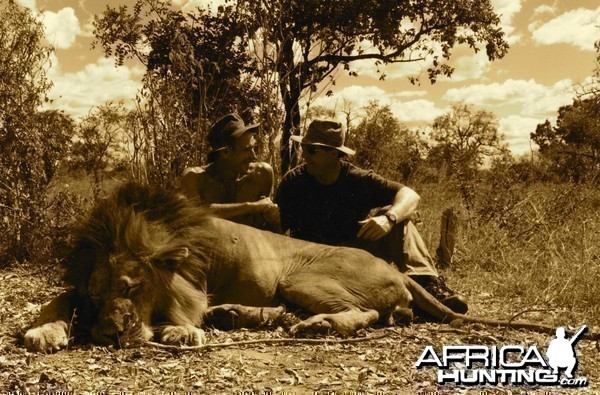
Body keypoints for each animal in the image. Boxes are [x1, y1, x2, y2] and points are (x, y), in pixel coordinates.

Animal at [23, 183, 596, 352]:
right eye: (98, 293)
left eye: (134, 285)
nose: (107, 335)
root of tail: (401, 274)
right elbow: (57, 299)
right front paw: (44, 331)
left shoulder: (192, 287)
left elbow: (182, 315)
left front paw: (177, 333)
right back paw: (242, 316)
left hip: (300, 275)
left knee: (373, 317)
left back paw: (314, 325)